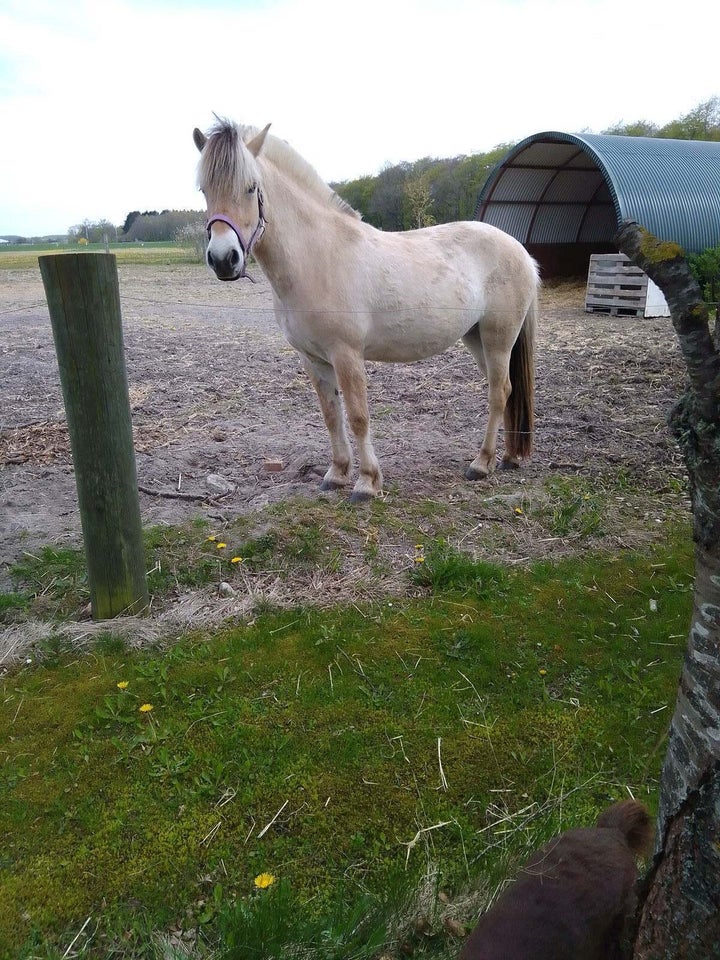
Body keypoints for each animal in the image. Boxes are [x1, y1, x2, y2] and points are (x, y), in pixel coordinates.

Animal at [193, 120, 540, 502]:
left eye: (251, 187)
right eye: (204, 189)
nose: (223, 259)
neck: (318, 255)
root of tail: (520, 250)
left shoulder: (346, 355)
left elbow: (358, 416)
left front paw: (367, 482)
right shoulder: (312, 359)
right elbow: (332, 415)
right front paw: (337, 474)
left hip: (498, 338)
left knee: (498, 393)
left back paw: (481, 464)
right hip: (476, 338)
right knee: (506, 391)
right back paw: (506, 458)